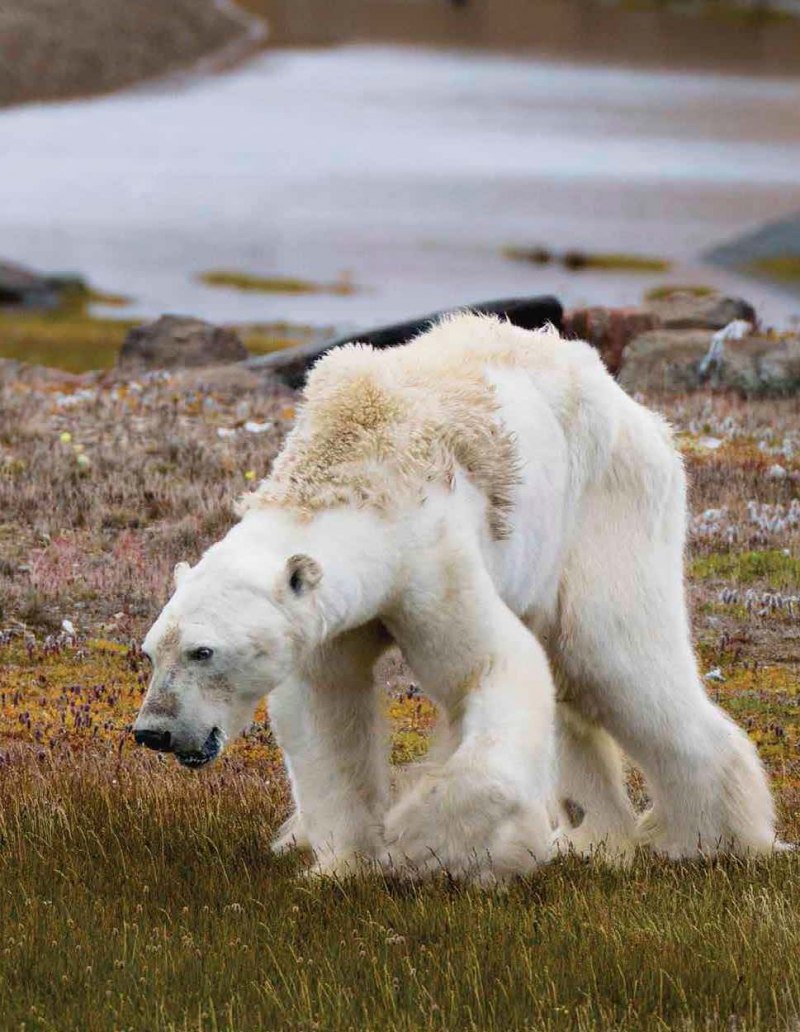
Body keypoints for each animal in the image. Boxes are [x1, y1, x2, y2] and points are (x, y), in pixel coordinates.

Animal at [134, 311, 780, 879]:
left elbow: (491, 668)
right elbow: (327, 708)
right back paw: (596, 838)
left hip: (605, 508)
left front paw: (423, 844)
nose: (153, 732)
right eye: (151, 651)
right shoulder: (329, 617)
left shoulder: (430, 557)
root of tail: (641, 413)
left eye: (203, 651)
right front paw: (343, 864)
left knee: (614, 659)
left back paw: (709, 839)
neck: (352, 469)